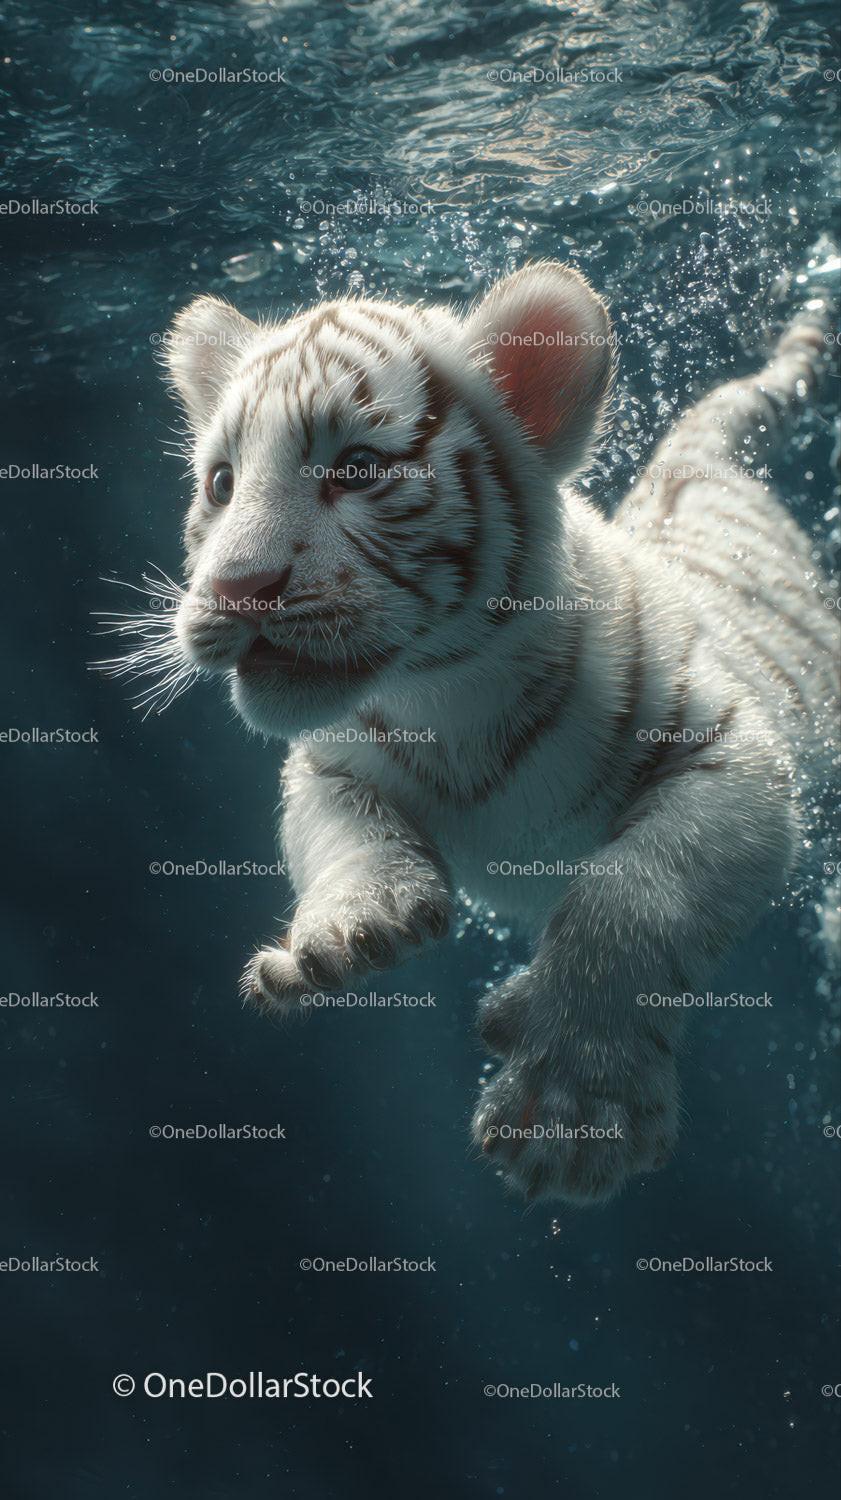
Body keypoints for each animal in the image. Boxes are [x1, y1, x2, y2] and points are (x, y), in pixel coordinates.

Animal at [153, 261, 838, 1205]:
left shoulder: (734, 756)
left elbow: (633, 893)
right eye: (220, 484)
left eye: (357, 469)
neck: (445, 694)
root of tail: (690, 464)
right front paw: (348, 932)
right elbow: (339, 835)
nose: (233, 588)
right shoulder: (326, 761)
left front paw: (572, 1111)